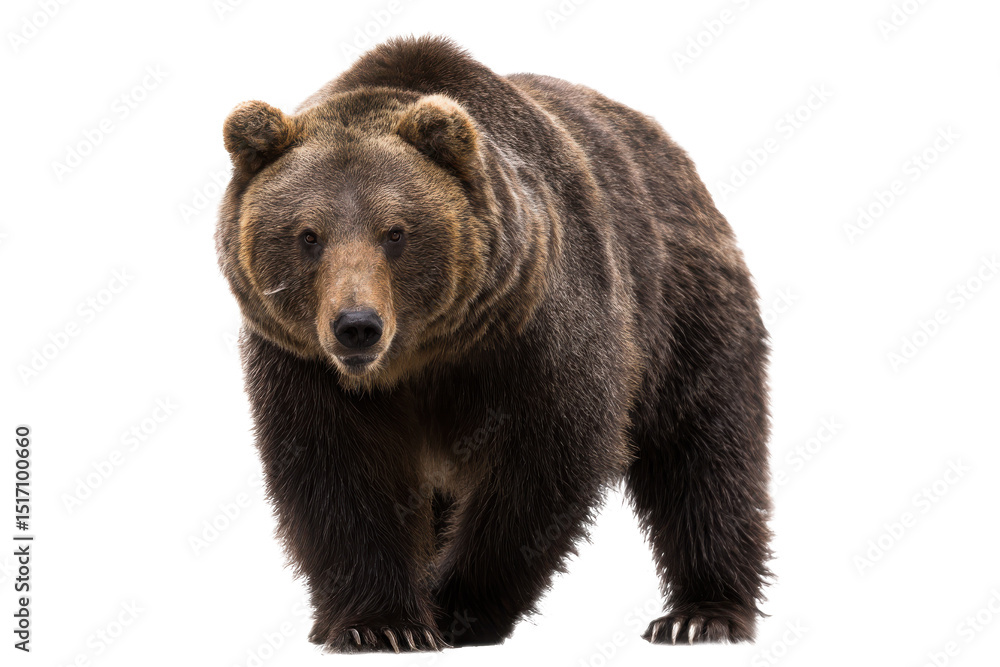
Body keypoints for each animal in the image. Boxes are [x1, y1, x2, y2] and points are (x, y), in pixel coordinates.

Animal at [215, 35, 772, 652]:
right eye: (309, 236)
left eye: (396, 232)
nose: (356, 325)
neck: (422, 356)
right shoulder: (304, 363)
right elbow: (337, 472)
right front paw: (381, 624)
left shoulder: (532, 331)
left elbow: (542, 463)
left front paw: (457, 607)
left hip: (683, 309)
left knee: (705, 453)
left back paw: (699, 614)